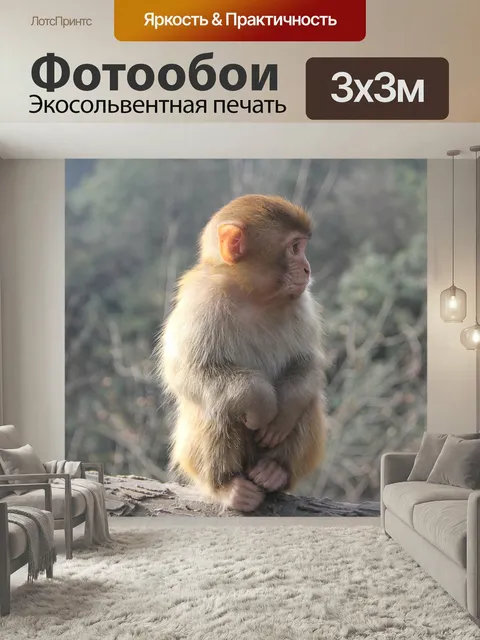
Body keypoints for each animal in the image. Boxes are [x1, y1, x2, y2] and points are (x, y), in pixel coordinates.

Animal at [155, 194, 327, 512]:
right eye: (295, 247)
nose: (308, 268)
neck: (253, 296)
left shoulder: (302, 303)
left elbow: (308, 363)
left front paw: (283, 413)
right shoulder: (201, 301)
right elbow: (187, 372)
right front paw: (262, 403)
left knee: (308, 400)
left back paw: (275, 471)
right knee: (218, 406)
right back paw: (227, 487)